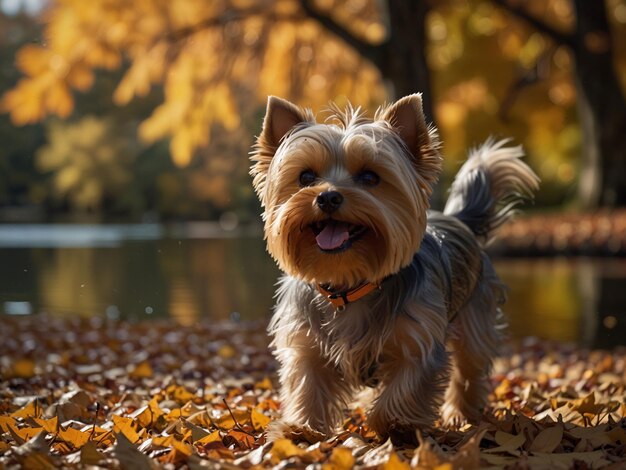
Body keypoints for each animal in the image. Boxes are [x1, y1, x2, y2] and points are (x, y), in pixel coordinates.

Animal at [249, 93, 536, 442]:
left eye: (370, 177)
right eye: (305, 177)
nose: (328, 197)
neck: (350, 284)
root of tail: (457, 219)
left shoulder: (418, 338)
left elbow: (407, 385)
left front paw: (396, 425)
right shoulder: (306, 344)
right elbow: (307, 384)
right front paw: (301, 427)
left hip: (476, 313)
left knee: (470, 366)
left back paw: (460, 414)